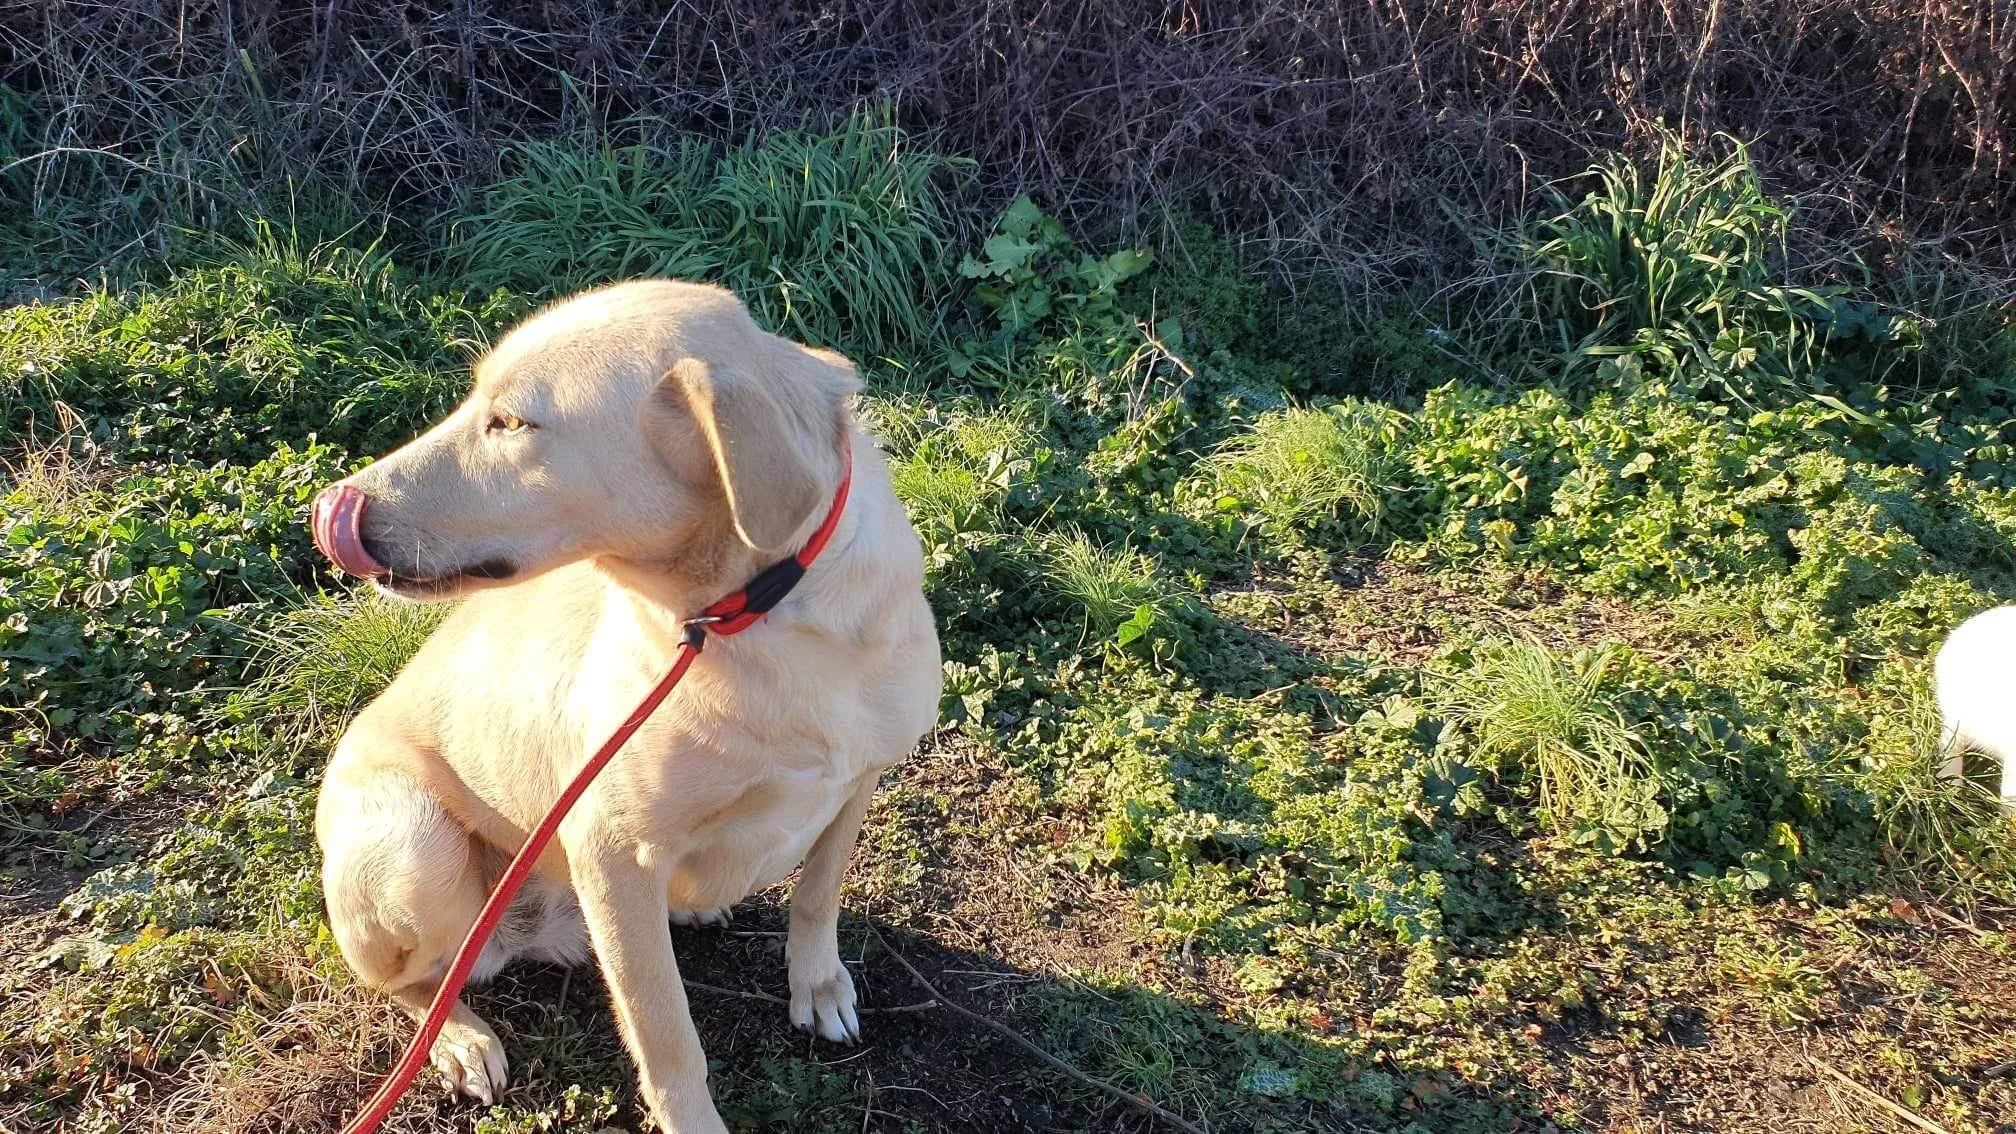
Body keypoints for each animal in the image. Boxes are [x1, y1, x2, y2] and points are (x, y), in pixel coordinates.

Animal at [309, 280, 942, 1132]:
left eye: (511, 422)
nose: (328, 505)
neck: (758, 615)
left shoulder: (858, 782)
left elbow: (817, 897)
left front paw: (818, 987)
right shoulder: (609, 849)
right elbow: (668, 1038)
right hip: (417, 850)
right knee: (411, 987)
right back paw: (463, 1042)